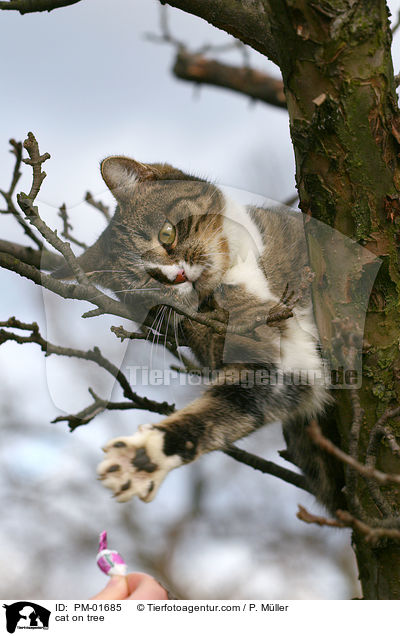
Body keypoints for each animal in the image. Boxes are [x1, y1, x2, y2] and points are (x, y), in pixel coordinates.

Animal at [54, 158, 346, 512]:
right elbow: (232, 404)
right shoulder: (270, 359)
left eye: (167, 233)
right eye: (147, 283)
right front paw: (142, 459)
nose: (177, 275)